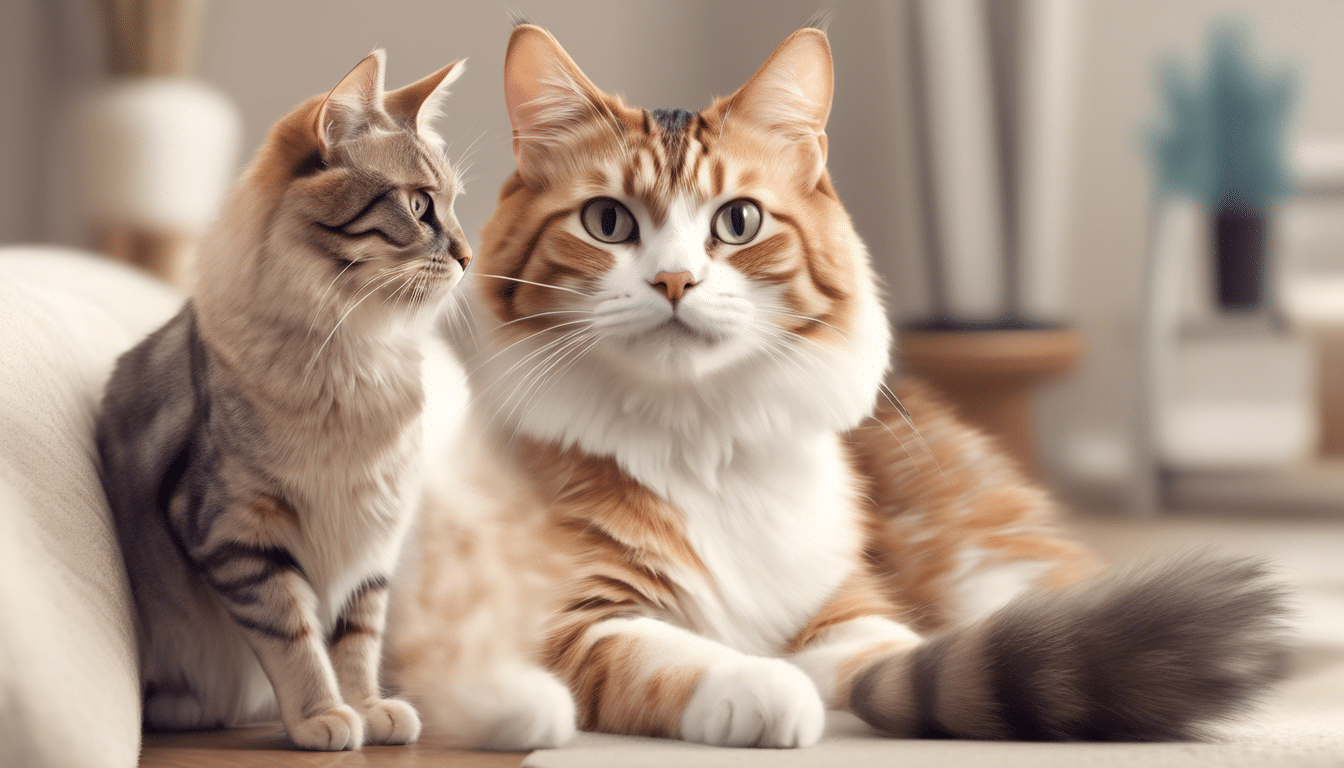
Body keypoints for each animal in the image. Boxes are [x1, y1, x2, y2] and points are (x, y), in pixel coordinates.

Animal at [97, 51, 470, 753]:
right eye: (418, 206)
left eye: (456, 206)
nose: (468, 255)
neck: (356, 361)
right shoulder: (237, 532)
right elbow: (295, 639)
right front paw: (325, 717)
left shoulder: (372, 539)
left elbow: (355, 637)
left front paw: (368, 708)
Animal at [387, 25, 1279, 753]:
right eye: (607, 223)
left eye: (738, 221)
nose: (674, 281)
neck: (698, 438)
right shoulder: (568, 619)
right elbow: (668, 655)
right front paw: (762, 686)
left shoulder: (846, 607)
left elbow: (903, 662)